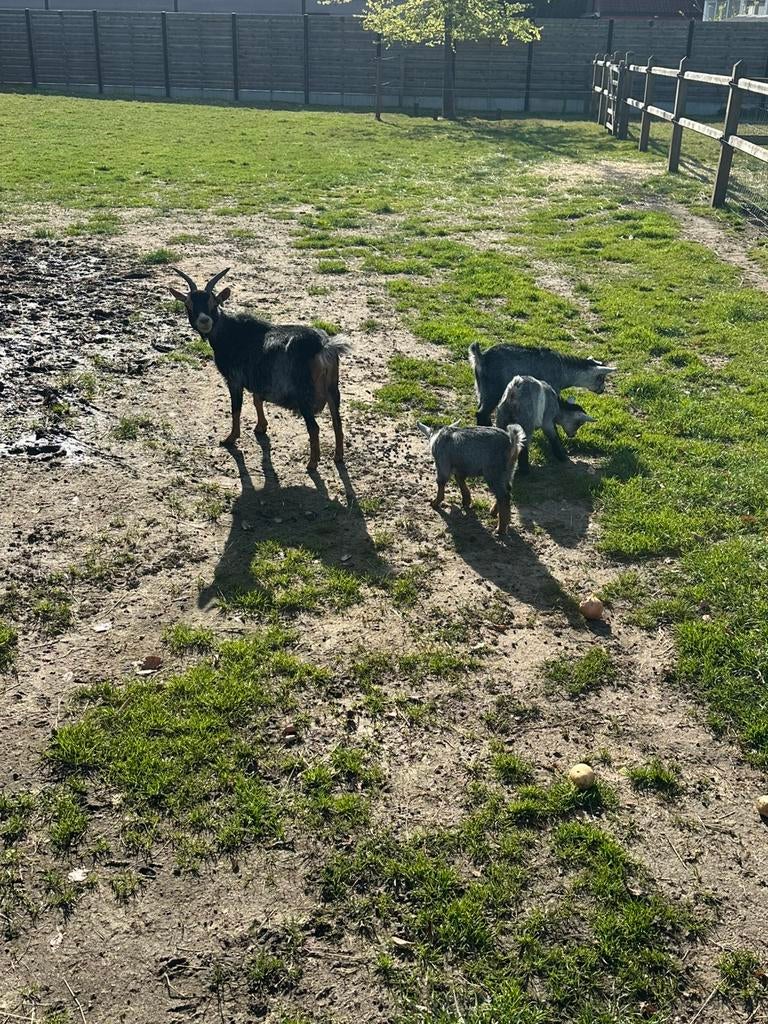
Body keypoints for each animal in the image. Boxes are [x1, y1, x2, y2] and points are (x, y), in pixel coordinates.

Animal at [169, 267, 348, 471]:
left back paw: (312, 463)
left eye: (214, 303)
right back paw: (338, 456)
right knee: (337, 422)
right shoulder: (257, 378)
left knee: (314, 427)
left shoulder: (234, 380)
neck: (229, 332)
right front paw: (261, 427)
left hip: (305, 395)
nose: (205, 321)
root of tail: (324, 347)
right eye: (188, 304)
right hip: (333, 390)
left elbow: (236, 408)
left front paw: (230, 438)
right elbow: (257, 400)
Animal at [468, 341, 616, 426]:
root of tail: (481, 357)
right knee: (481, 412)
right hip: (493, 390)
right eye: (601, 378)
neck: (563, 369)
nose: (602, 390)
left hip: (481, 388)